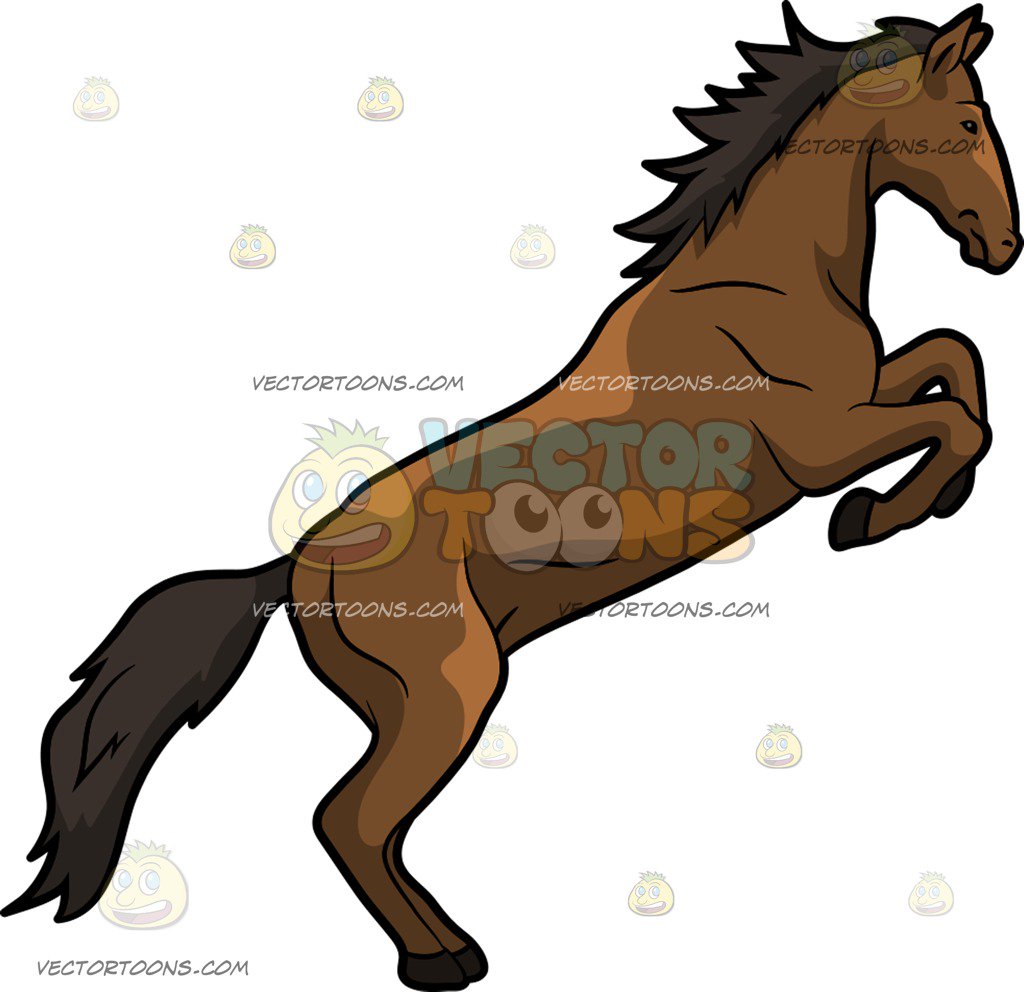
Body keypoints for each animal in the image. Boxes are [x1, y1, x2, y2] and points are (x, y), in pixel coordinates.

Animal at [4, 4, 1018, 990]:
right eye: (971, 120)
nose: (1004, 247)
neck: (764, 285)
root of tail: (292, 568)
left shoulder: (868, 393)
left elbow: (954, 360)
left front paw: (934, 499)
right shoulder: (819, 448)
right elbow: (952, 413)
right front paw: (876, 518)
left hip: (404, 706)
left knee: (367, 828)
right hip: (446, 696)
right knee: (350, 820)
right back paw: (444, 961)